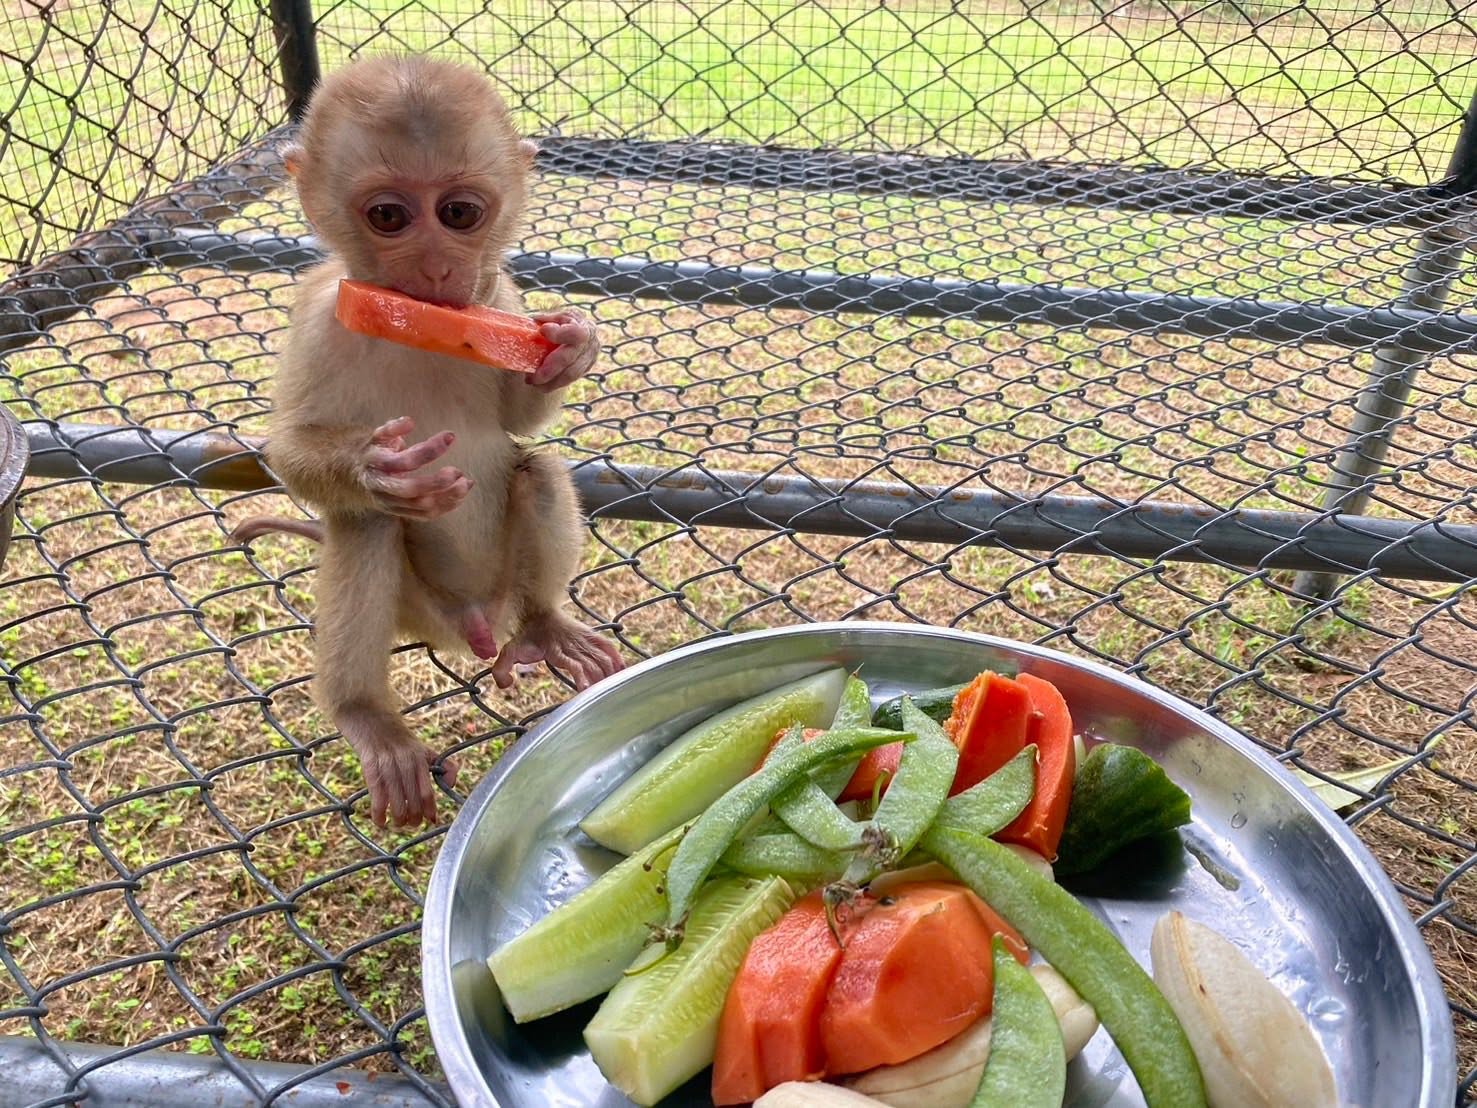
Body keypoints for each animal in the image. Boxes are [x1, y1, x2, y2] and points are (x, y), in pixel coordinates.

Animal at [232, 55, 624, 829]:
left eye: (459, 214)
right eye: (388, 216)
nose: (440, 269)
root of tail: (469, 624)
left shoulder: (499, 296)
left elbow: (521, 424)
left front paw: (572, 348)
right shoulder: (321, 314)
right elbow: (291, 451)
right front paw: (377, 466)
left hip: (500, 587)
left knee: (536, 471)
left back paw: (544, 628)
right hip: (415, 604)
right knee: (366, 525)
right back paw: (366, 717)